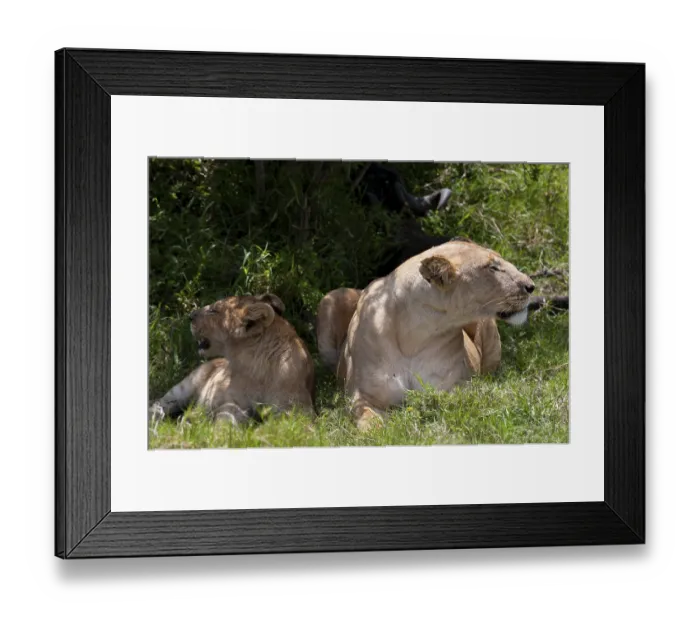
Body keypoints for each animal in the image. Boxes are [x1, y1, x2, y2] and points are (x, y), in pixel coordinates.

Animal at [149, 293, 315, 428]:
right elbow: (225, 419)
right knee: (160, 403)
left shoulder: (296, 409)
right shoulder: (232, 402)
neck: (256, 368)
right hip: (184, 387)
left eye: (214, 311)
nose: (189, 316)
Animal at [316, 240, 535, 431]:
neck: (415, 336)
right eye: (492, 268)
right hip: (331, 298)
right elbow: (371, 425)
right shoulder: (363, 396)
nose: (531, 286)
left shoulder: (458, 388)